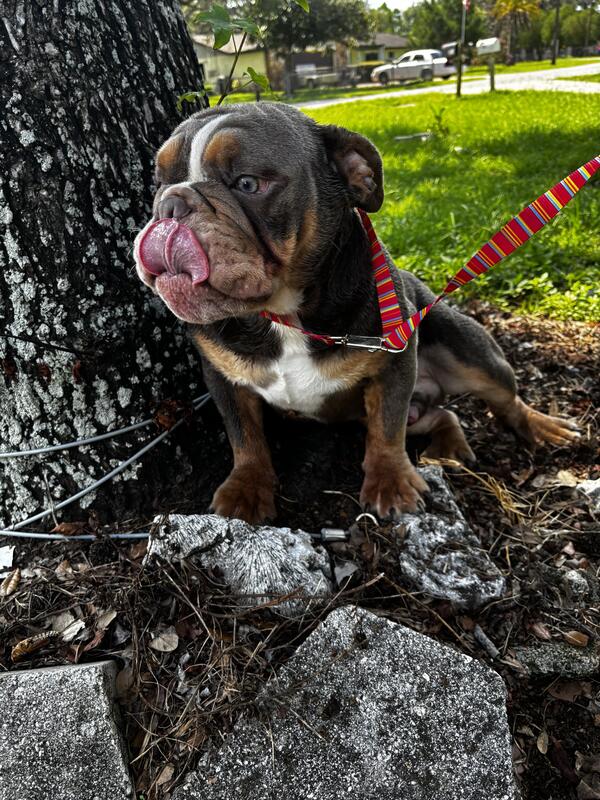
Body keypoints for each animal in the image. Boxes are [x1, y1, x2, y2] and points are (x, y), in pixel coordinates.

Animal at [133, 103, 579, 524]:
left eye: (248, 183)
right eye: (159, 181)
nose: (171, 203)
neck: (283, 315)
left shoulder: (394, 363)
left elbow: (386, 429)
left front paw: (391, 483)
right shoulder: (223, 377)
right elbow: (244, 437)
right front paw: (246, 490)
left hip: (467, 351)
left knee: (504, 397)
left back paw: (542, 428)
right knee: (443, 414)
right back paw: (447, 449)